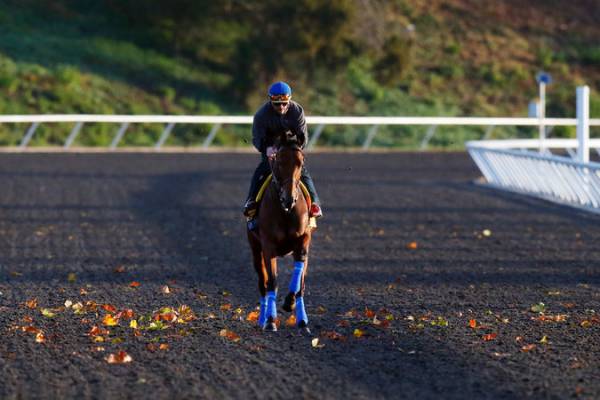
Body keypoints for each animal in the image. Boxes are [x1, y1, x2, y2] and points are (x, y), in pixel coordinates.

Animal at [247, 136, 314, 332]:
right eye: (278, 161)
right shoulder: (268, 247)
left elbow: (299, 282)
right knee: (263, 283)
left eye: (301, 162)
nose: (289, 198)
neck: (286, 211)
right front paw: (270, 320)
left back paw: (301, 320)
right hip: (256, 250)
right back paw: (262, 318)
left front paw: (292, 306)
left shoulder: (303, 240)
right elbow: (272, 282)